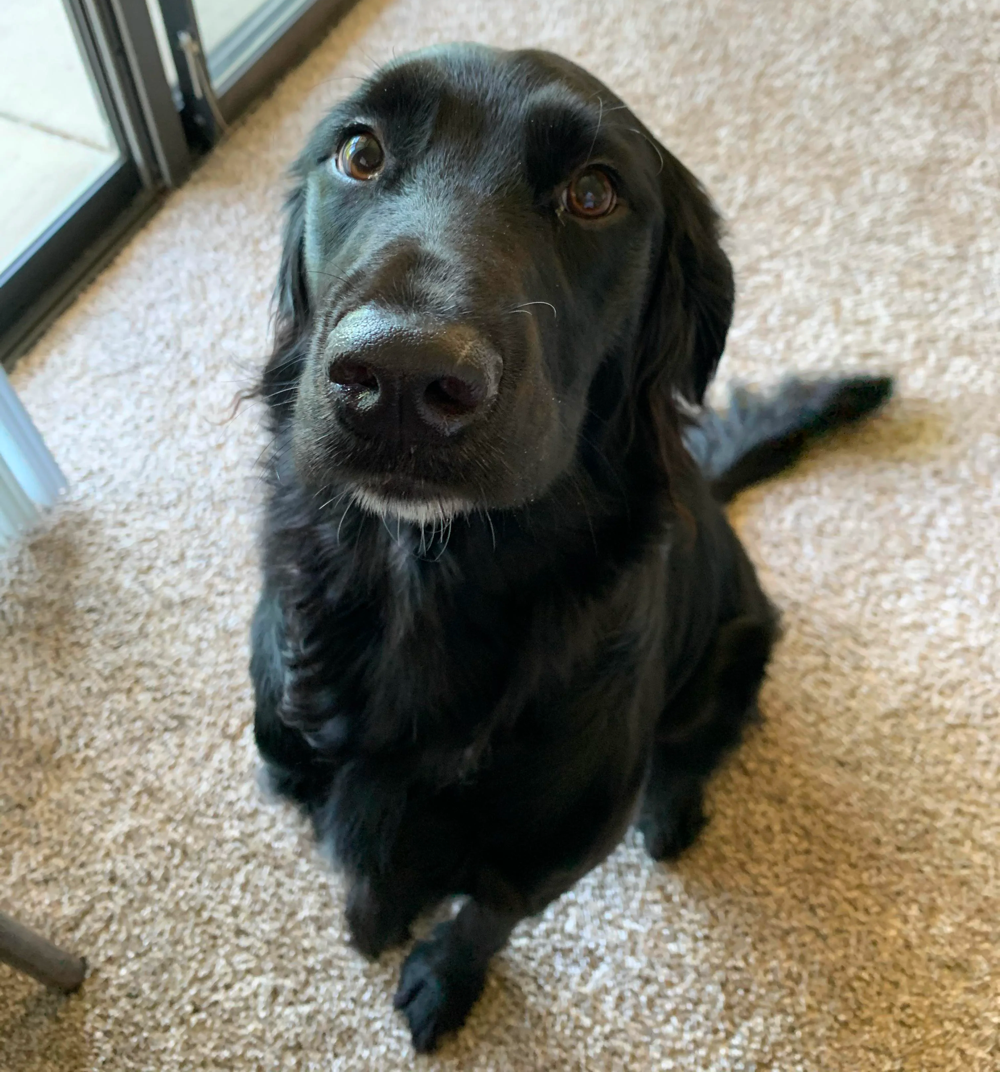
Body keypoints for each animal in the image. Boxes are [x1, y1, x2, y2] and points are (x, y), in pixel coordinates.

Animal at [249, 46, 892, 1051]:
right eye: (359, 152)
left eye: (594, 193)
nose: (396, 378)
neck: (421, 583)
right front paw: (375, 917)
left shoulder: (547, 856)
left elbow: (484, 916)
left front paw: (439, 976)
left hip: (737, 648)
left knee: (695, 746)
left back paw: (672, 808)